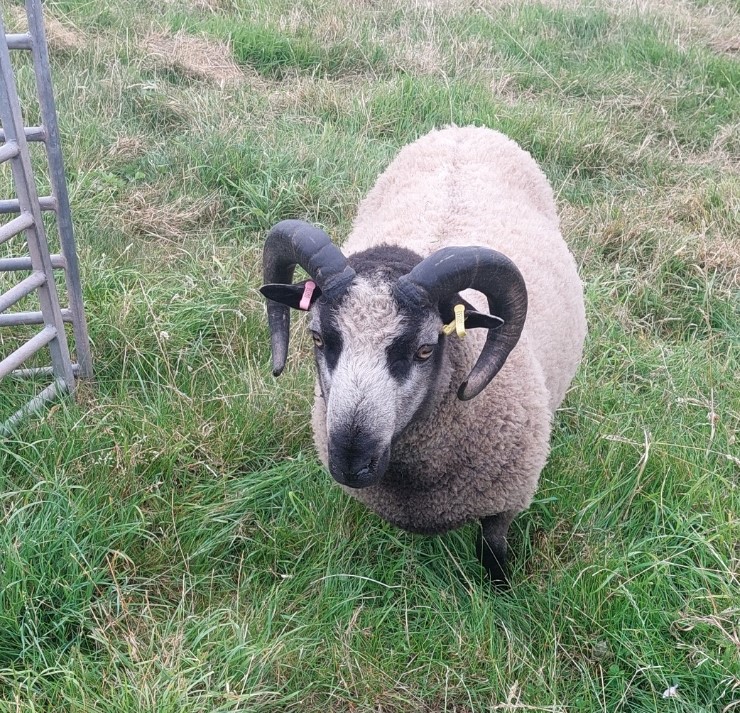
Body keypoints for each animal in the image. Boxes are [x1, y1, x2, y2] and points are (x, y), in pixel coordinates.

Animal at [260, 126, 587, 585]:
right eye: (318, 338)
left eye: (425, 349)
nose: (350, 462)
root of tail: (465, 128)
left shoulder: (506, 501)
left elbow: (492, 549)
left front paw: (501, 591)